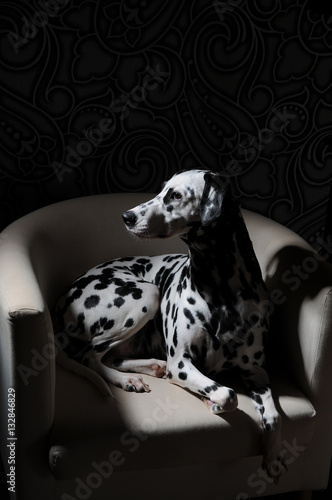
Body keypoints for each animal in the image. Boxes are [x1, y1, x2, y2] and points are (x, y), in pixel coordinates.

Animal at [54, 169, 282, 480]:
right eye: (162, 190)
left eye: (175, 195)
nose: (127, 216)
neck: (220, 287)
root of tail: (62, 299)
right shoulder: (182, 363)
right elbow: (228, 394)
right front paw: (211, 400)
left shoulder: (256, 371)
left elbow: (273, 415)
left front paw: (273, 455)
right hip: (147, 294)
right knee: (90, 356)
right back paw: (126, 380)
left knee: (111, 357)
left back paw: (149, 368)